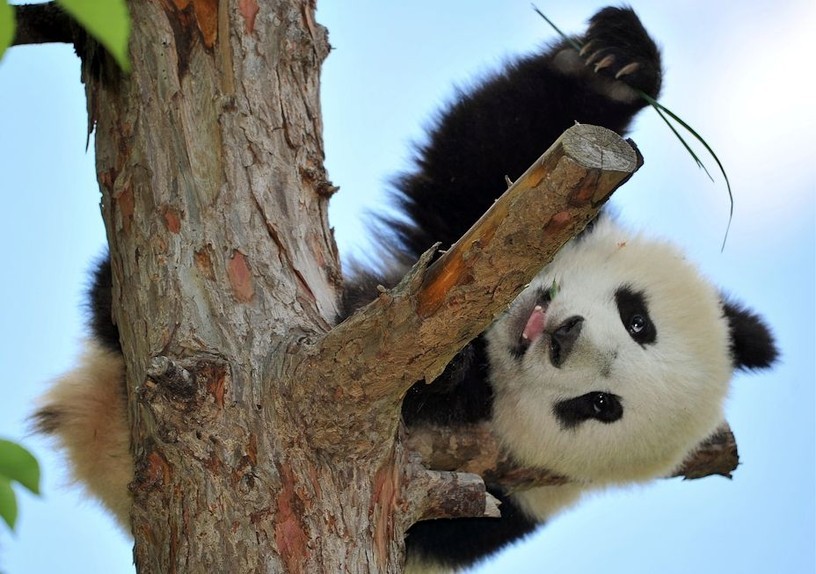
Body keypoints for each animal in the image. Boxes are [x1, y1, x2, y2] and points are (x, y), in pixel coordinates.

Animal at [34, 6, 777, 574]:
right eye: (637, 318)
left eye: (600, 407)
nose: (564, 337)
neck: (492, 342)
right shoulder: (484, 218)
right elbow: (487, 144)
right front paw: (616, 63)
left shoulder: (503, 494)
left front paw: (434, 369)